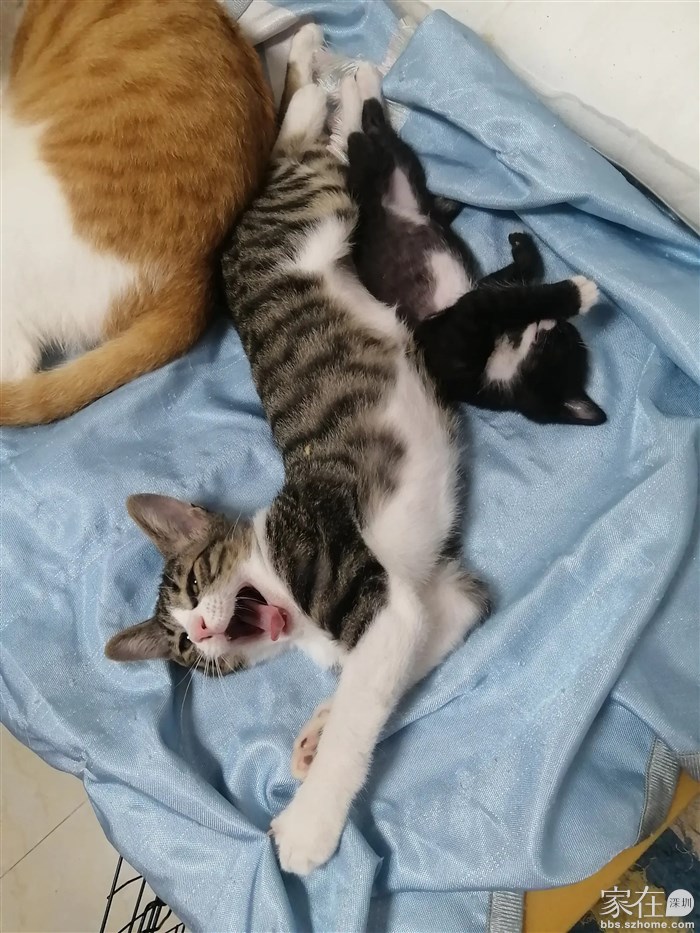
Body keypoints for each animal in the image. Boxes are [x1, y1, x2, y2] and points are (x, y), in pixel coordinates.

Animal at [105, 24, 490, 876]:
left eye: (193, 584)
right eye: (183, 651)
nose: (203, 631)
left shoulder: (360, 582)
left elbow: (362, 710)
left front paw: (310, 824)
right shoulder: (430, 598)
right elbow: (394, 666)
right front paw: (314, 729)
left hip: (312, 207)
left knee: (313, 136)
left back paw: (339, 70)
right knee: (307, 136)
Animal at [340, 66, 607, 426]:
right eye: (565, 337)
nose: (563, 324)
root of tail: (398, 204)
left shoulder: (467, 315)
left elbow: (513, 298)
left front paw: (577, 292)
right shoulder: (474, 304)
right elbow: (517, 286)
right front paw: (528, 250)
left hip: (386, 178)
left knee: (367, 144)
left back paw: (356, 91)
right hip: (403, 174)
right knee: (373, 134)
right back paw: (361, 83)